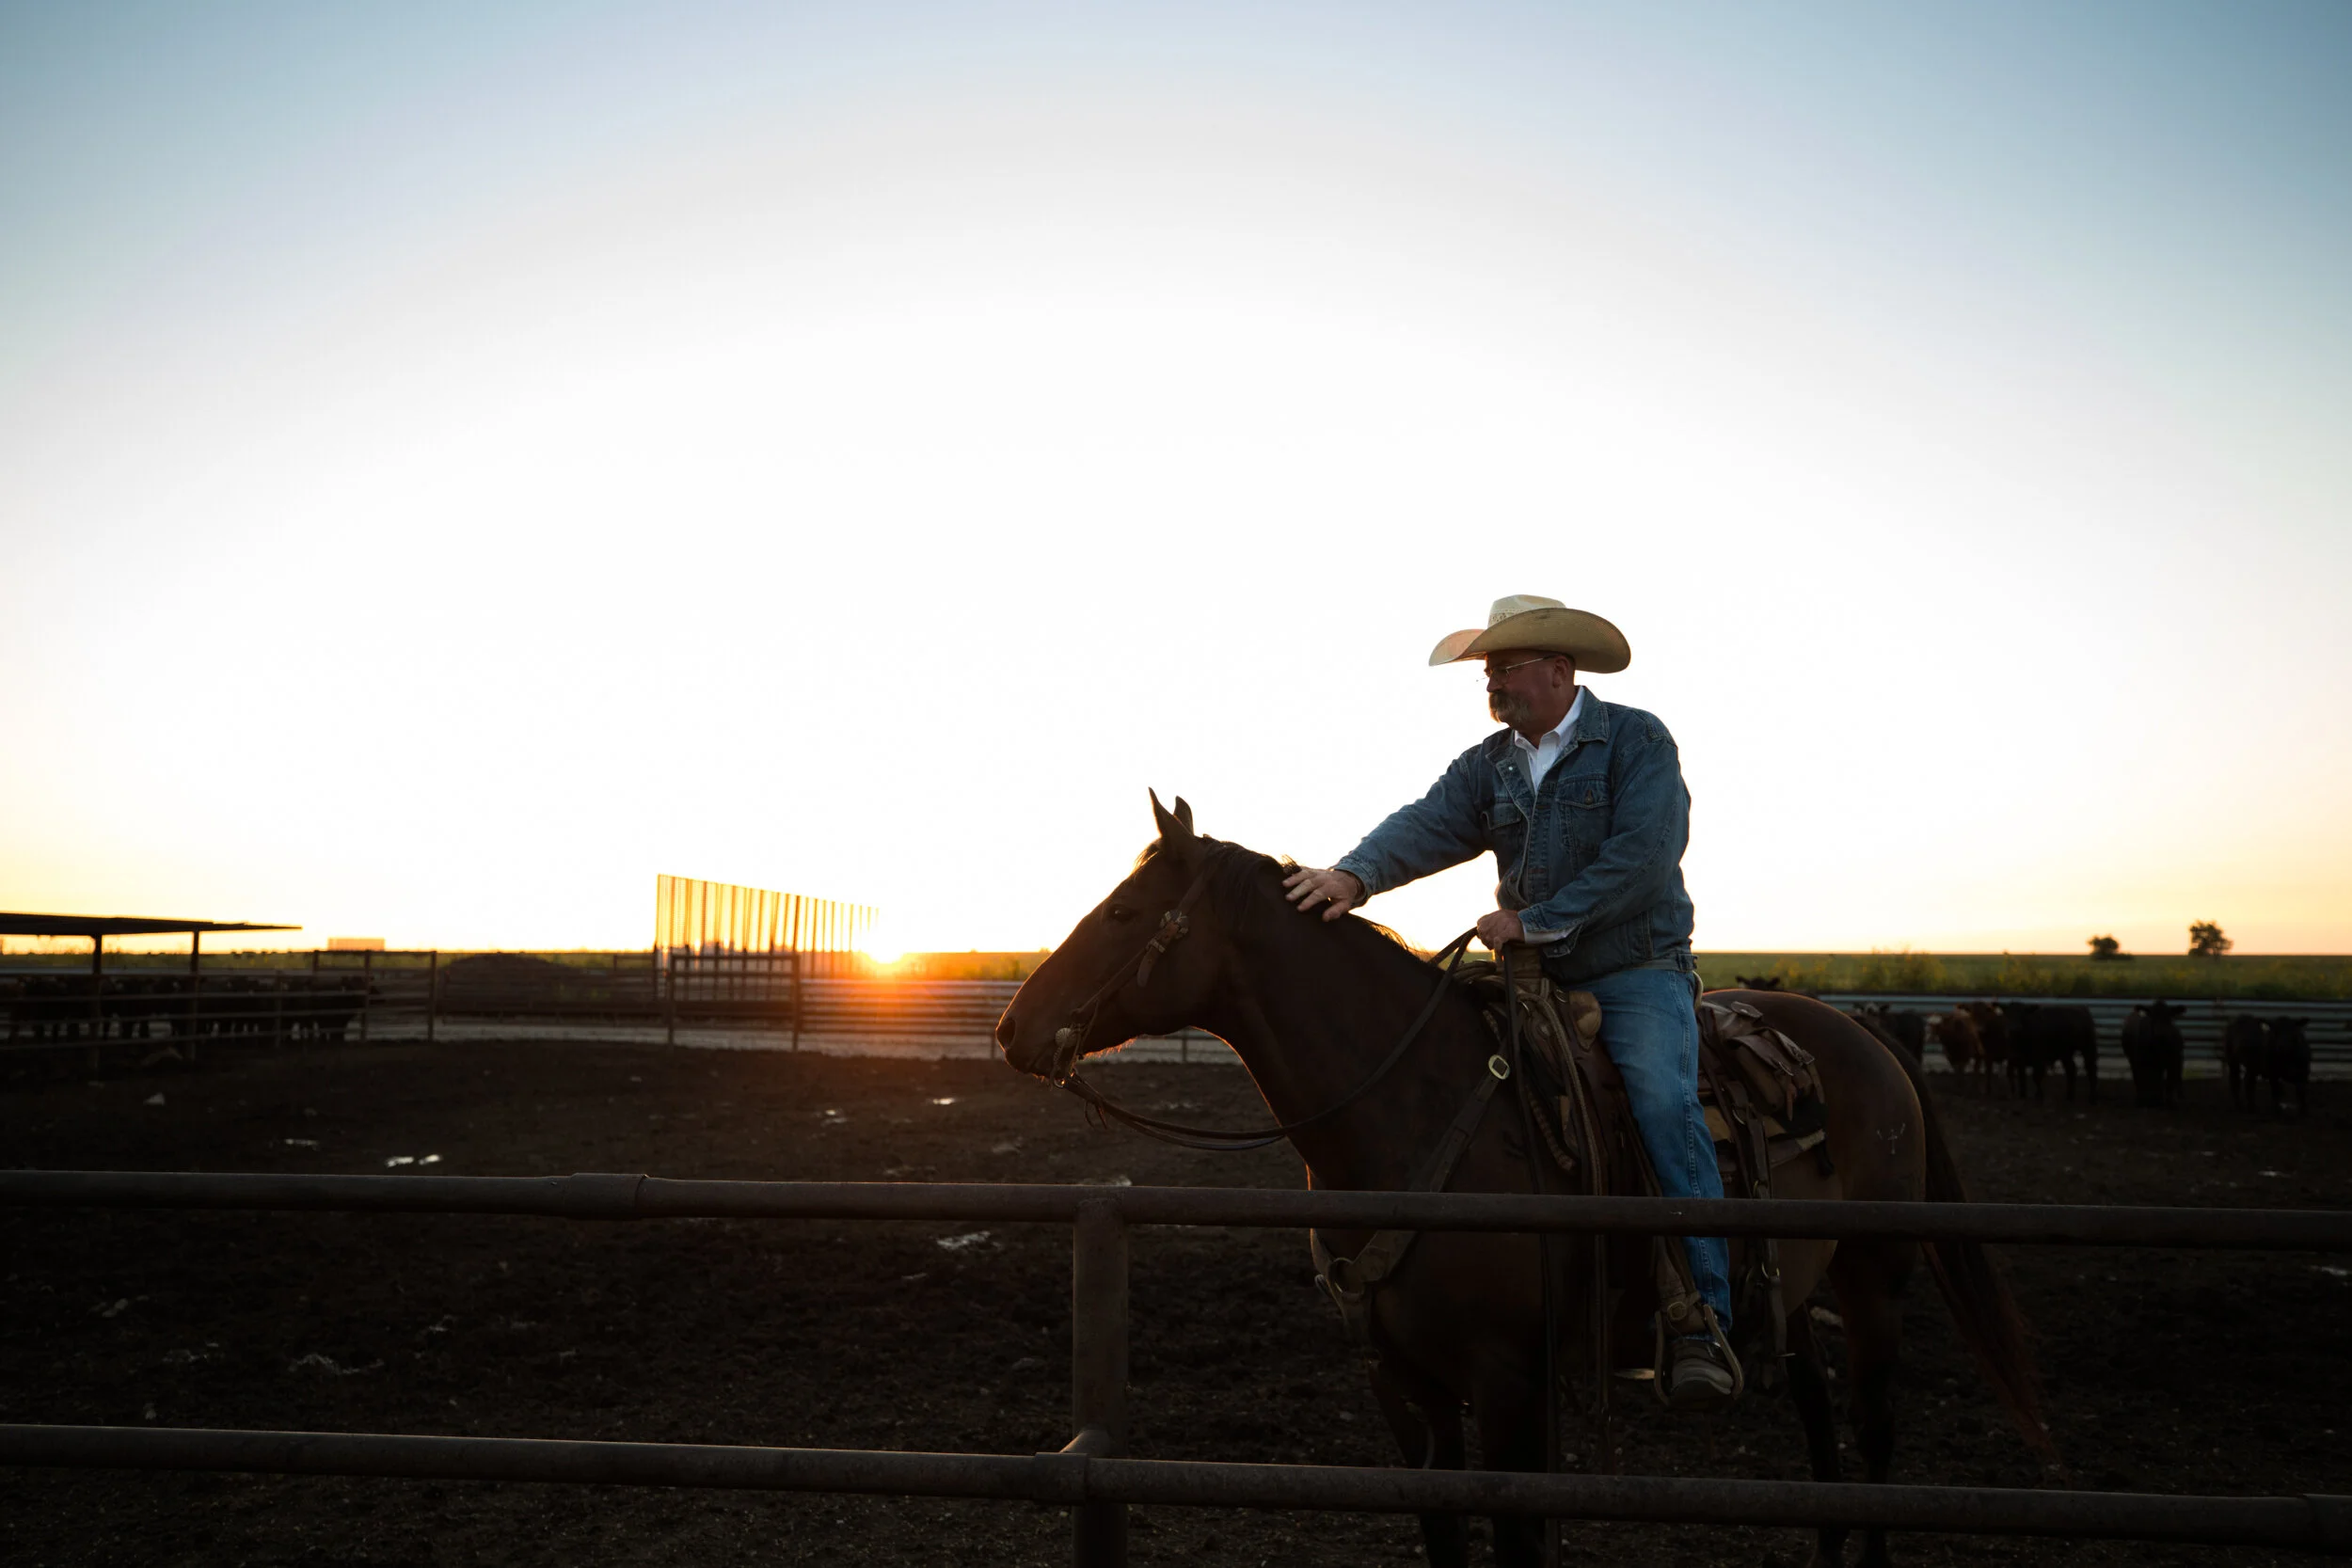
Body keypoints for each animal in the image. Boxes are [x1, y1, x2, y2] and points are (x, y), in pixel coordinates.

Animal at [995, 796, 2053, 1568]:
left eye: (1123, 912)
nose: (1013, 1027)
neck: (1414, 1112)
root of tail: (1864, 1033)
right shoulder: (1401, 1383)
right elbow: (1448, 1535)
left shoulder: (1507, 1380)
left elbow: (1514, 1535)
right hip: (1798, 1285)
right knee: (1819, 1413)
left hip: (1876, 1275)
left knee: (1873, 1431)